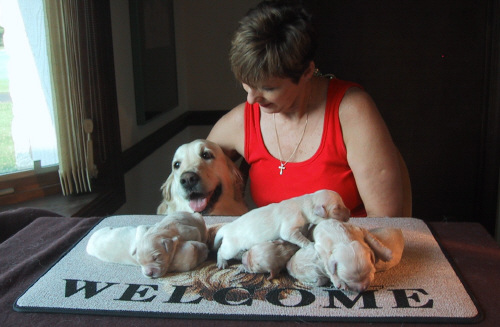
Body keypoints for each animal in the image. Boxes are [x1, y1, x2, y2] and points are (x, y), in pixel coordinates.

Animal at [213, 190, 350, 270]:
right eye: (336, 209)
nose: (349, 214)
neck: (305, 203)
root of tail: (226, 228)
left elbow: (303, 232)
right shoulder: (289, 229)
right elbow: (297, 237)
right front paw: (310, 244)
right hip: (230, 247)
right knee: (221, 251)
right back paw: (221, 262)